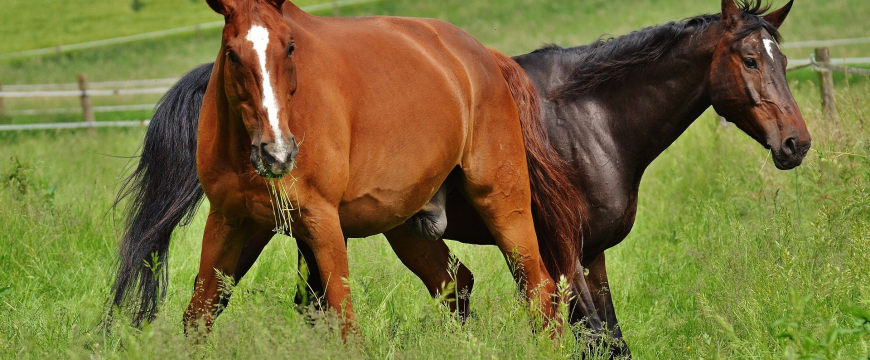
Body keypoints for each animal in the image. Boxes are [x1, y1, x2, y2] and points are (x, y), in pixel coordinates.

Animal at [110, 0, 584, 334]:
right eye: (231, 54)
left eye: (290, 46)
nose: (277, 153)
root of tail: (483, 55)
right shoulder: (229, 221)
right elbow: (199, 314)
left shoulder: (321, 223)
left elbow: (343, 323)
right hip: (407, 225)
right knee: (456, 284)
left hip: (503, 202)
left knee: (540, 289)